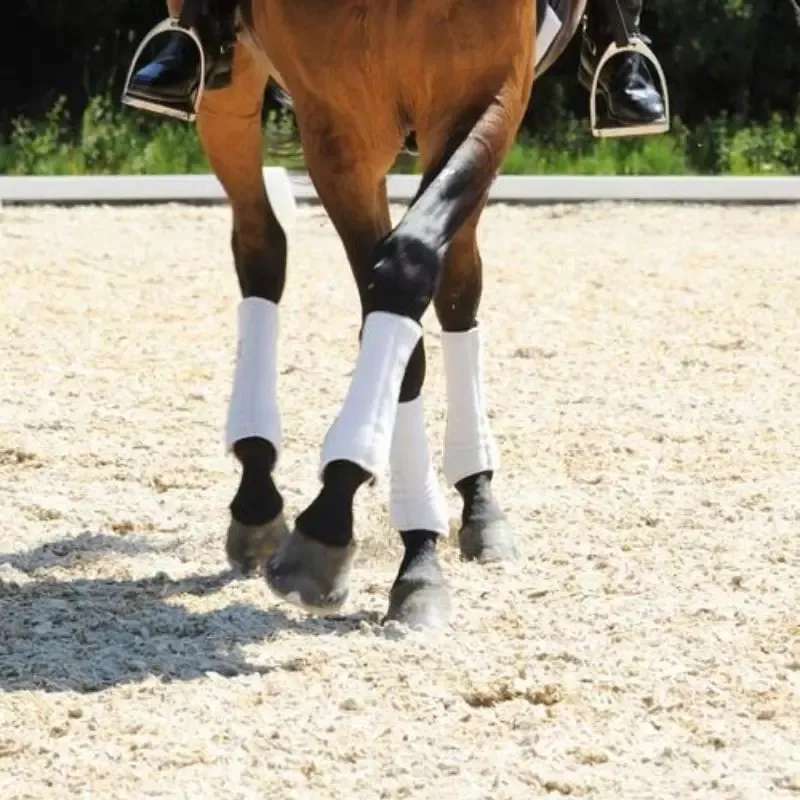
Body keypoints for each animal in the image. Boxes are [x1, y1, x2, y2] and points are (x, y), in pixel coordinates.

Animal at [121, 0, 597, 630]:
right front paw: (352, 532)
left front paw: (408, 548)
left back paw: (479, 502)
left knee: (459, 291)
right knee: (261, 247)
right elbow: (398, 328)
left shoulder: (493, 95)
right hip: (231, 86)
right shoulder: (341, 128)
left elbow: (411, 270)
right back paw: (256, 493)